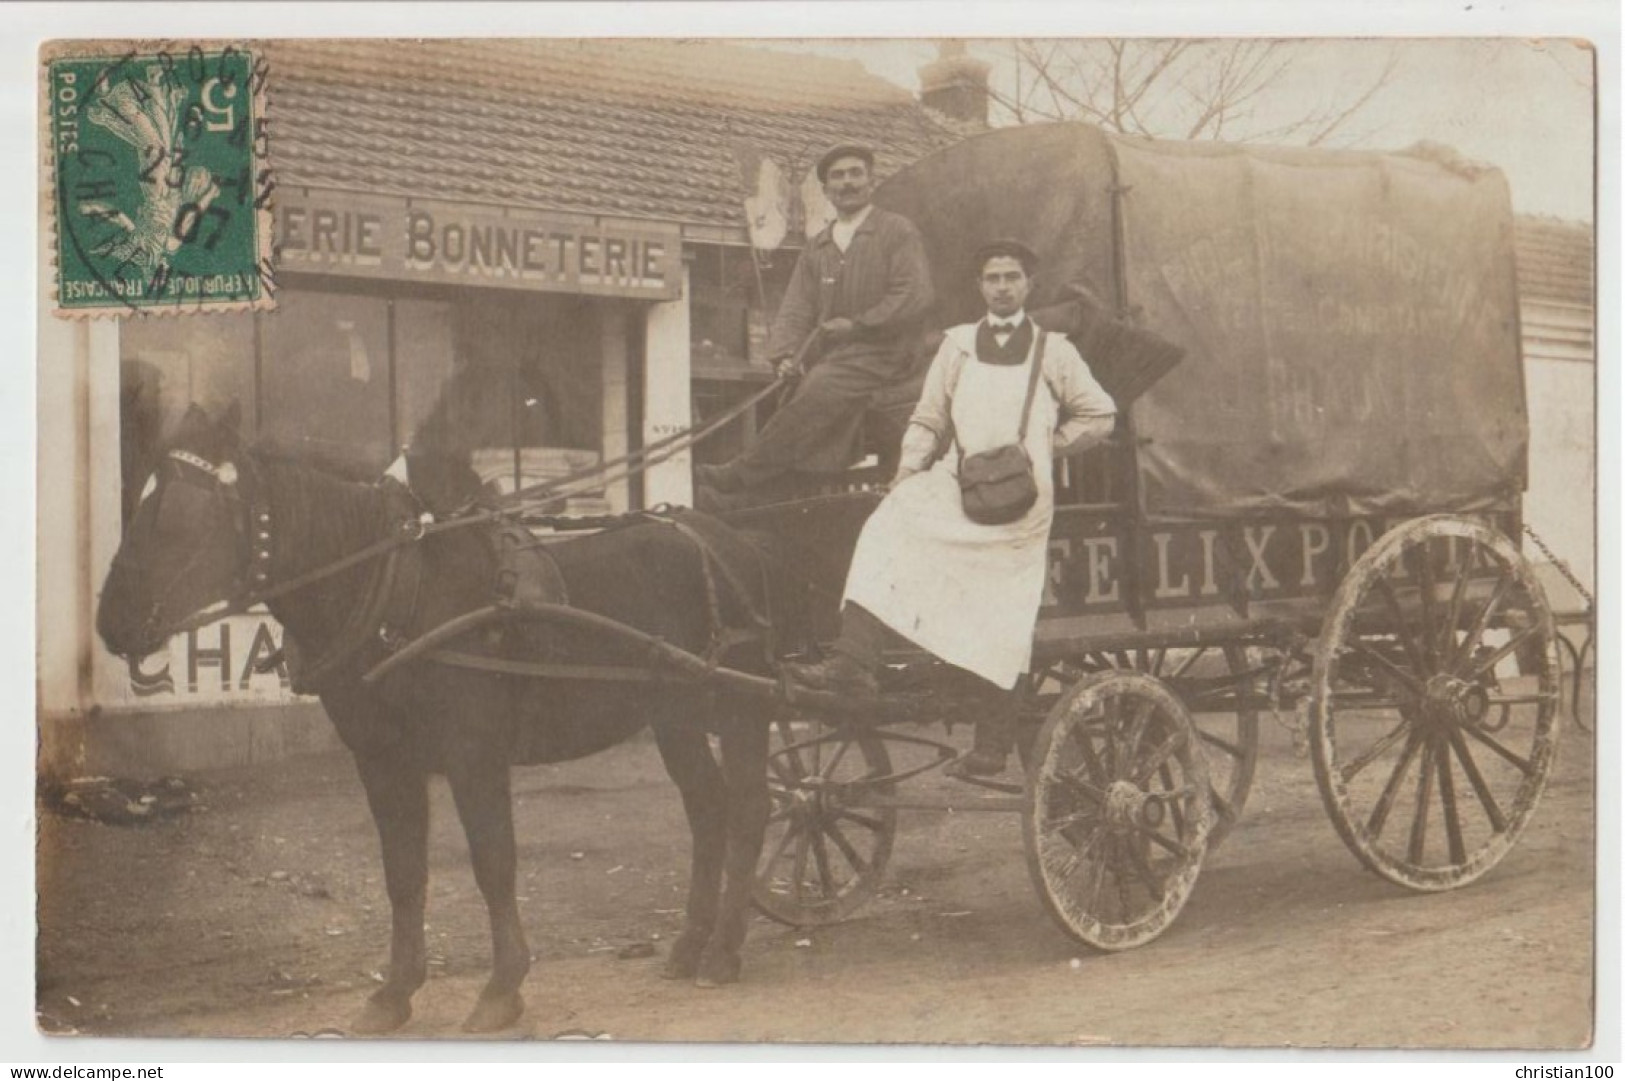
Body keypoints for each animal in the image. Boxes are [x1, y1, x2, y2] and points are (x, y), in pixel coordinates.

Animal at [95, 403, 793, 1027]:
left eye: (180, 514)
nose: (111, 620)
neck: (400, 593)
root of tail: (734, 540)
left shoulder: (474, 754)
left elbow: (493, 861)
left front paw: (502, 989)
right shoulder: (382, 760)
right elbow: (404, 873)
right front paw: (394, 992)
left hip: (740, 706)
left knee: (750, 808)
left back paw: (723, 951)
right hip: (675, 715)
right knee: (708, 809)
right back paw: (689, 944)